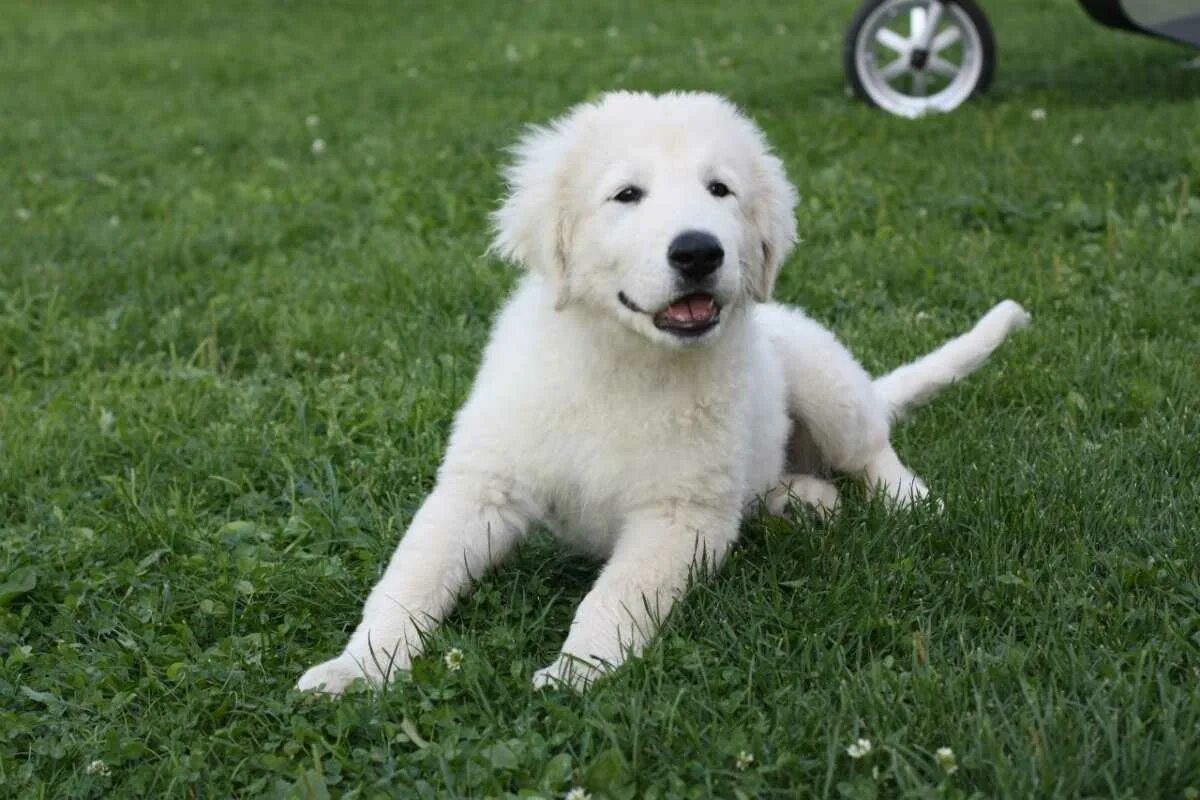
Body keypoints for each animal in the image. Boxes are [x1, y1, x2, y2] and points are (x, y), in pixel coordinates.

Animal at [300, 92, 1032, 695]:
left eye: (720, 190)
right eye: (627, 194)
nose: (698, 251)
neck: (625, 362)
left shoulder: (678, 514)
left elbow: (615, 596)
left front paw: (577, 672)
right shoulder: (483, 488)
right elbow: (409, 579)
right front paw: (359, 667)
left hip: (821, 373)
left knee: (870, 447)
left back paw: (910, 502)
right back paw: (803, 501)